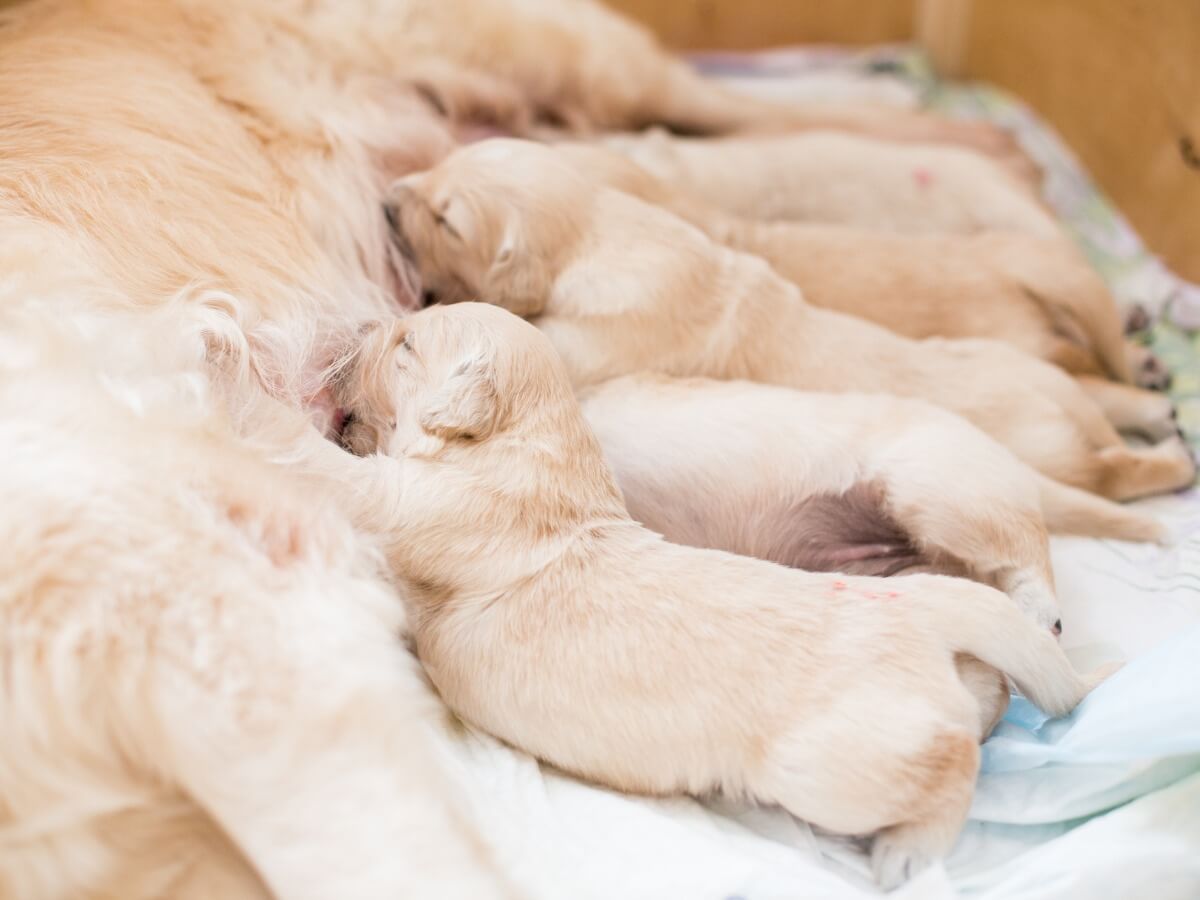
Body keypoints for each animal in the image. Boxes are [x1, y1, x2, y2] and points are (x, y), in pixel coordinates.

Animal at [328, 301, 1113, 888]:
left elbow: (341, 473)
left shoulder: (413, 502)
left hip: (838, 745)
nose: (358, 329)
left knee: (956, 752)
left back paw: (907, 852)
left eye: (405, 343)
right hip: (916, 594)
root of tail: (925, 612)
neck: (536, 445)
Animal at [388, 144, 1195, 504]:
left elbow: (520, 334)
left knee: (1114, 468)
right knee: (1099, 384)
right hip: (1030, 365)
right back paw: (1155, 404)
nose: (389, 198)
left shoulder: (592, 339)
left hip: (1055, 450)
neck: (601, 230)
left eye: (446, 220)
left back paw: (1172, 461)